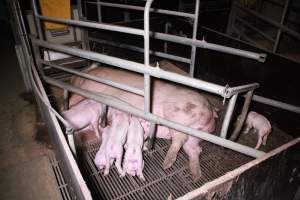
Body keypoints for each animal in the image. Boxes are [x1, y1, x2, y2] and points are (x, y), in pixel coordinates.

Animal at [69, 63, 217, 181]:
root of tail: (210, 111)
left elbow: (73, 101)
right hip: (195, 135)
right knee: (195, 150)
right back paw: (196, 176)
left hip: (178, 117)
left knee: (179, 139)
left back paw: (166, 163)